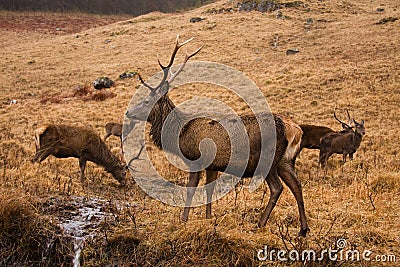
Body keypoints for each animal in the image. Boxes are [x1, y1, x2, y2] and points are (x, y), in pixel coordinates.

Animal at [125, 35, 310, 237]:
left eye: (146, 101)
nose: (129, 112)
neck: (180, 133)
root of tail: (294, 129)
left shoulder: (195, 159)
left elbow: (191, 189)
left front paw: (183, 219)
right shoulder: (212, 165)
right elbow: (210, 190)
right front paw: (208, 218)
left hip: (268, 159)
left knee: (277, 188)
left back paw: (260, 224)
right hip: (286, 160)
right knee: (297, 185)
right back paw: (303, 229)